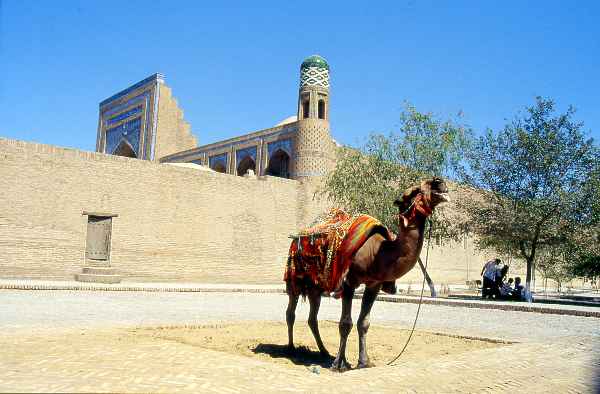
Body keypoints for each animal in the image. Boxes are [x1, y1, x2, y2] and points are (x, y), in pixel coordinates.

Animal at [286, 177, 450, 370]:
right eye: (415, 190)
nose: (439, 182)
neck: (378, 252)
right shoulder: (348, 282)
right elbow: (345, 323)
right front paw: (339, 364)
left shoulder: (374, 284)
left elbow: (363, 323)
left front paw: (364, 362)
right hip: (294, 279)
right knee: (291, 312)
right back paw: (291, 349)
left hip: (315, 287)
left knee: (312, 318)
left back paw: (324, 352)